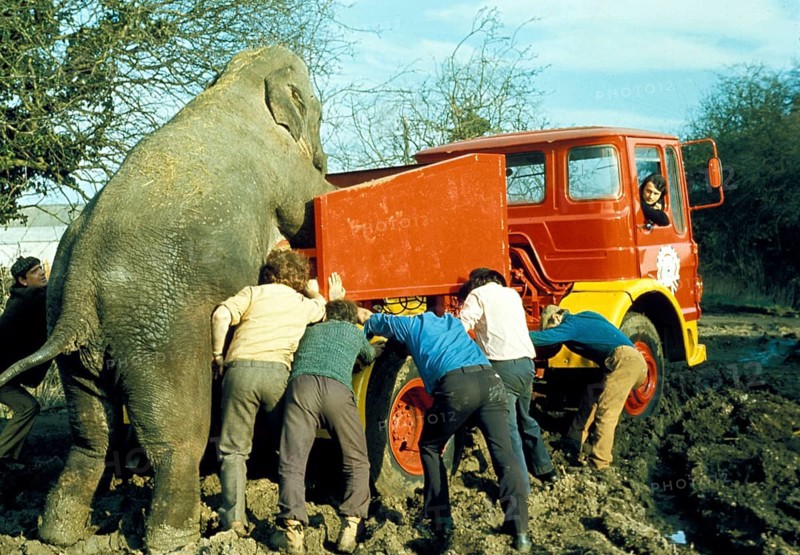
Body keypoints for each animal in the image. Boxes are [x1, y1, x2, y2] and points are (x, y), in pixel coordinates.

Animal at [0, 46, 334, 552]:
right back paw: (176, 539)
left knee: (90, 436)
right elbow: (308, 208)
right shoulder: (284, 168)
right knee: (178, 438)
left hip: (76, 347)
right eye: (318, 109)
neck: (238, 80)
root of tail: (78, 296)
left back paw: (58, 535)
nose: (325, 157)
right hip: (161, 336)